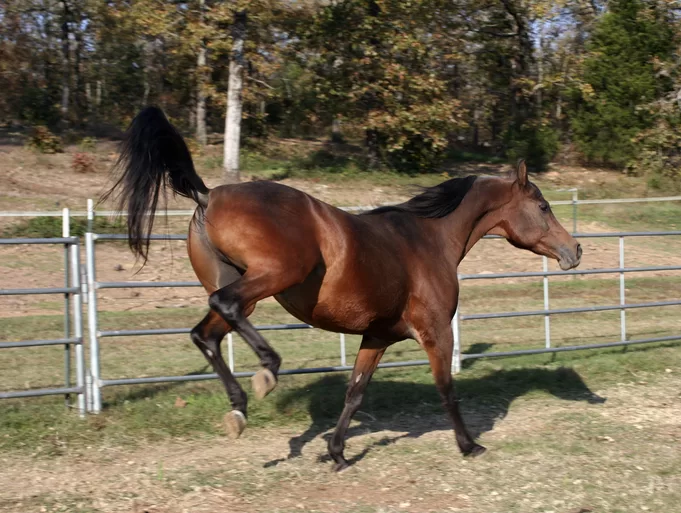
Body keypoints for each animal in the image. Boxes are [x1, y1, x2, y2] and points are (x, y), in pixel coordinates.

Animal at [103, 106, 580, 470]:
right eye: (543, 206)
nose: (574, 250)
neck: (428, 239)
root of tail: (208, 196)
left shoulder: (378, 336)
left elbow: (355, 392)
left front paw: (336, 453)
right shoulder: (436, 333)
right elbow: (446, 390)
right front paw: (469, 445)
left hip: (245, 287)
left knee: (205, 333)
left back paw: (238, 409)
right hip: (274, 276)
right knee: (225, 307)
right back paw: (266, 372)